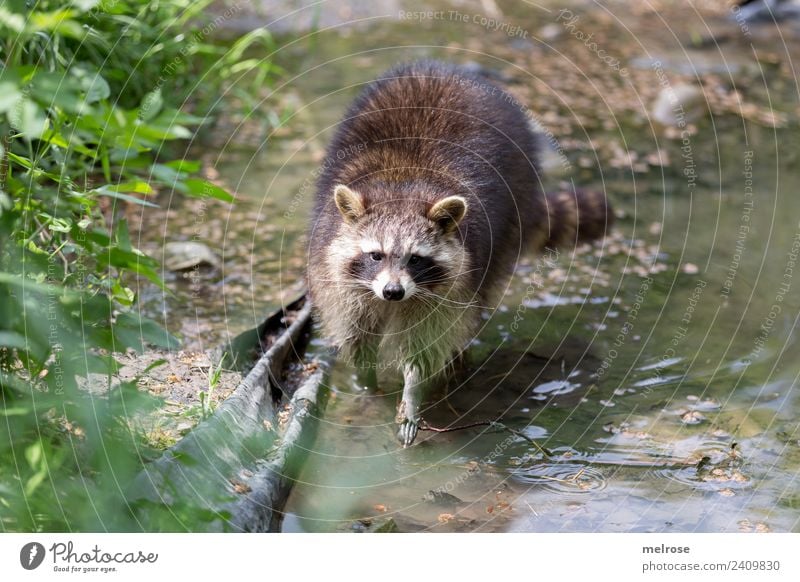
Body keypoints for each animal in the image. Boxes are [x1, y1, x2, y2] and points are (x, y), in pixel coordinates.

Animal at [308, 61, 612, 448]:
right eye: (376, 255)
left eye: (416, 259)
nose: (393, 292)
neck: (402, 187)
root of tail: (445, 68)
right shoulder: (338, 277)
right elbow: (356, 335)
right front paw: (366, 387)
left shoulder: (450, 286)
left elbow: (428, 343)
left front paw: (412, 394)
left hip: (512, 207)